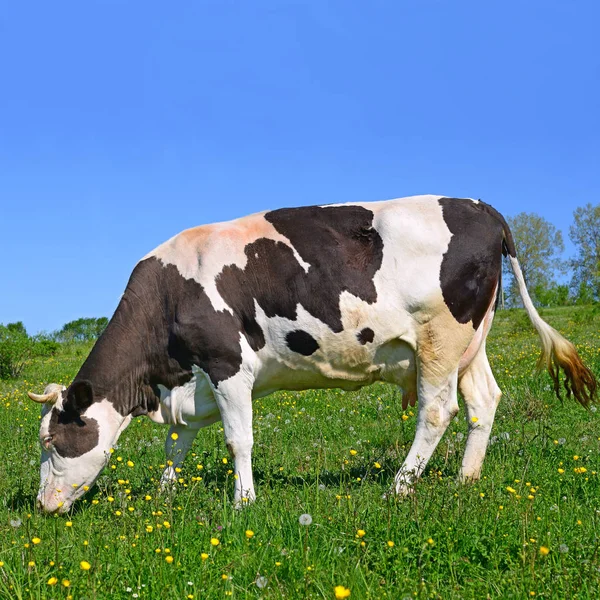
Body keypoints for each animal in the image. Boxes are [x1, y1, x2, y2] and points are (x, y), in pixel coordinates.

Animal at [28, 195, 596, 512]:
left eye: (52, 441)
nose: (40, 506)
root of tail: (479, 205)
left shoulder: (228, 364)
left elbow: (238, 441)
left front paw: (244, 502)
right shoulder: (193, 382)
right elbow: (177, 441)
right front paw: (167, 495)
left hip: (440, 336)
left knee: (438, 411)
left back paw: (398, 489)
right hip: (470, 344)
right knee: (484, 401)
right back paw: (465, 479)